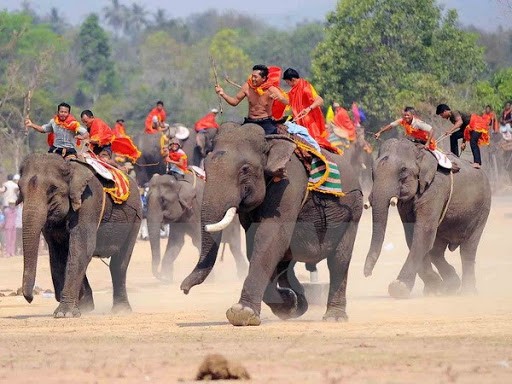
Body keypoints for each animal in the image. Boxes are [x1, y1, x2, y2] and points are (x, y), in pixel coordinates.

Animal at [18, 153, 142, 318]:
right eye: (19, 188)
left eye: (52, 189)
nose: (30, 298)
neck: (68, 165)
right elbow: (59, 253)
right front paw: (80, 308)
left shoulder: (89, 201)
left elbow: (81, 249)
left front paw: (64, 313)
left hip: (136, 218)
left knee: (119, 264)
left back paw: (121, 310)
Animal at [180, 121, 364, 326]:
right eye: (206, 166)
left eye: (245, 169)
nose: (184, 289)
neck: (270, 142)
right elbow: (257, 244)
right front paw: (290, 304)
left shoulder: (290, 184)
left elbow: (270, 237)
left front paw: (242, 313)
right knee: (286, 262)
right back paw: (299, 302)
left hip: (353, 210)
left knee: (339, 260)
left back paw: (334, 317)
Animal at [364, 140, 492, 298]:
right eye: (372, 171)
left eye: (403, 170)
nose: (367, 273)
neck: (420, 152)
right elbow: (412, 234)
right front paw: (435, 288)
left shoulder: (435, 188)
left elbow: (423, 232)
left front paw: (399, 287)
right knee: (436, 250)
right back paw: (450, 286)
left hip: (482, 210)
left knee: (468, 249)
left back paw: (467, 292)